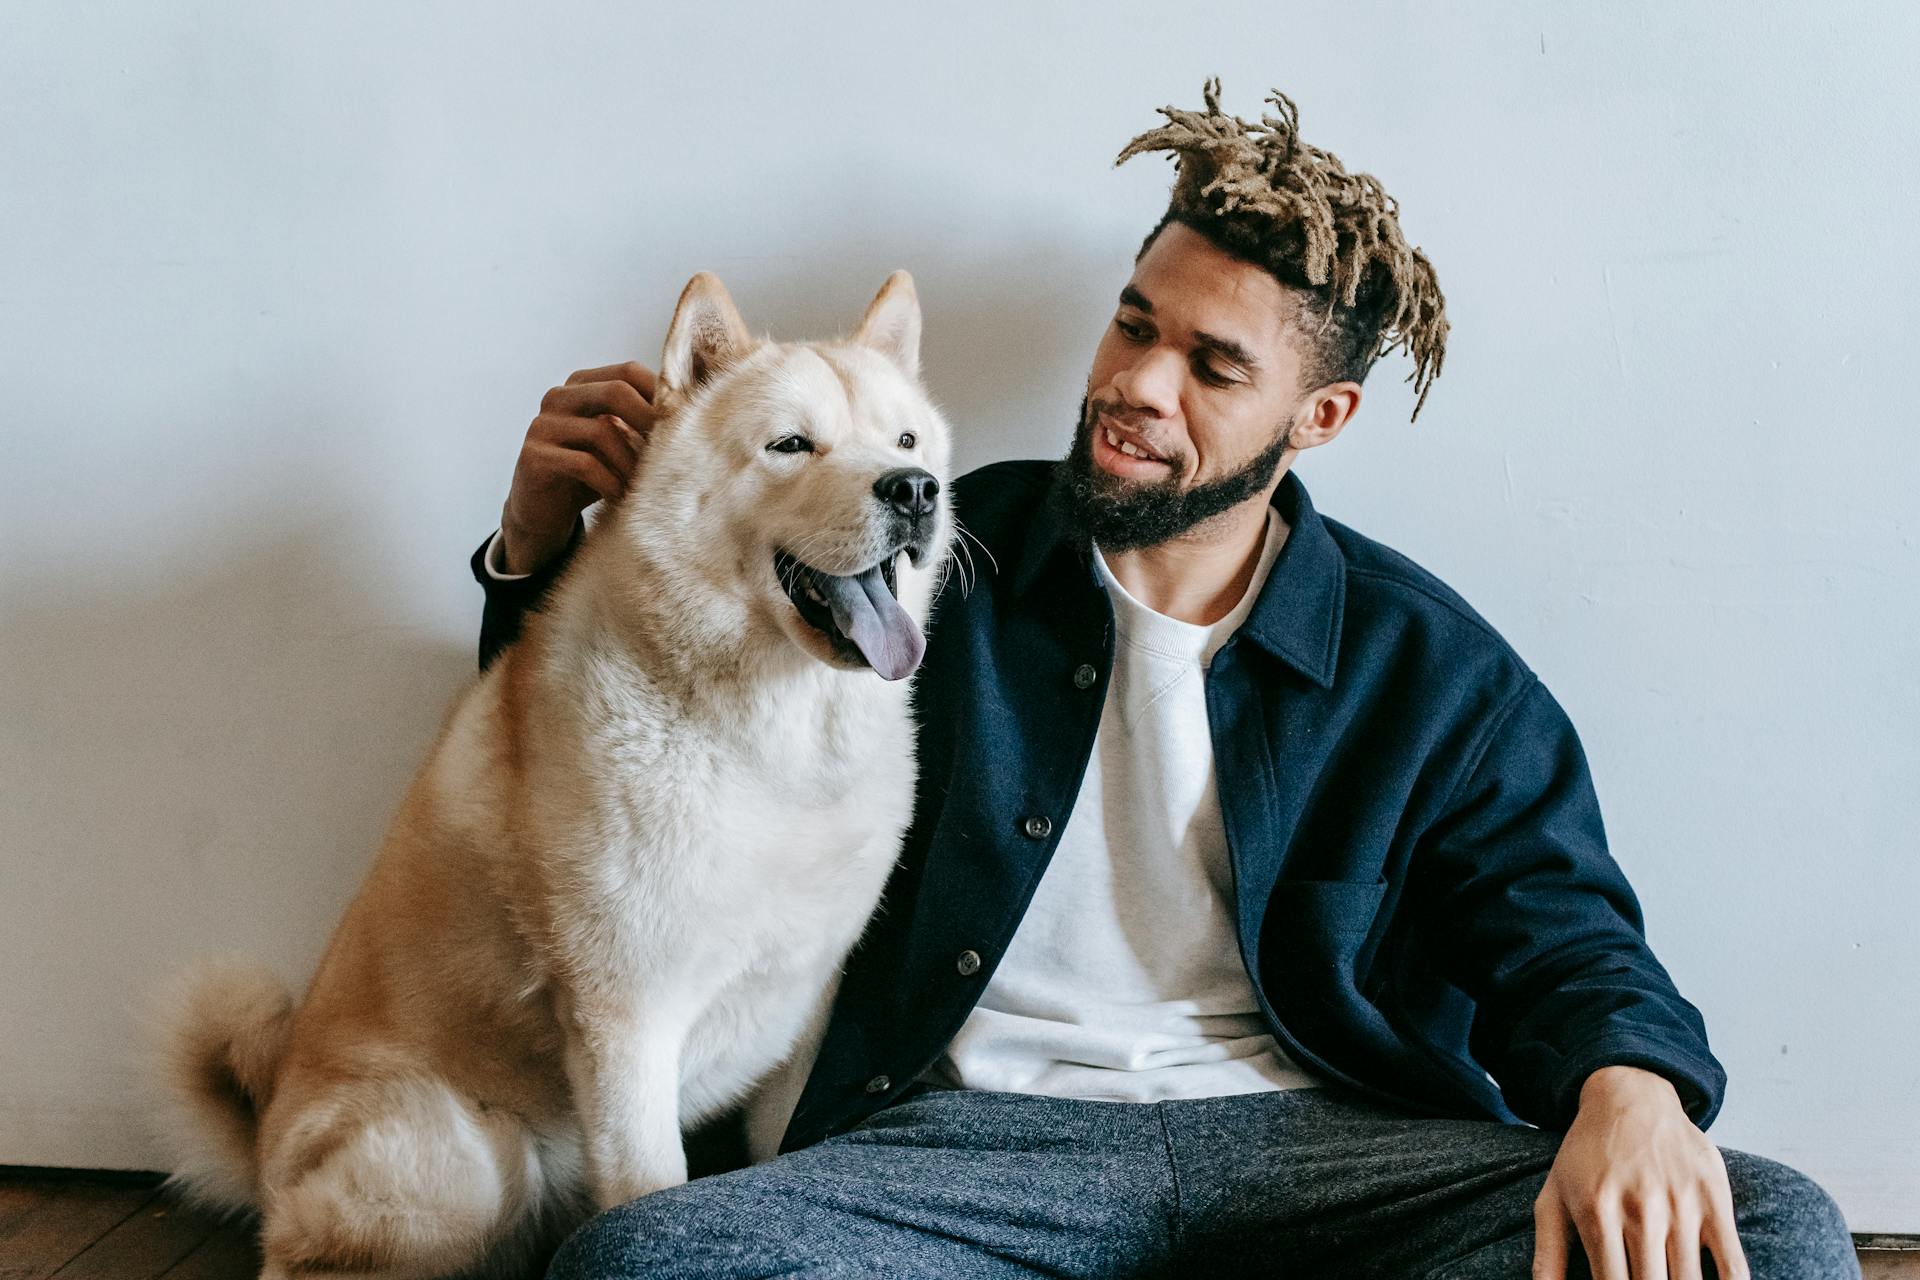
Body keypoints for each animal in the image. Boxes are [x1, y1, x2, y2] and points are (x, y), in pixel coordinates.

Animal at [149, 270, 952, 1280]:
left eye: (906, 441)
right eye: (791, 445)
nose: (914, 490)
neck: (765, 739)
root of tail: (261, 1155)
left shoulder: (805, 1024)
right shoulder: (625, 1023)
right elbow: (650, 1195)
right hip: (465, 1160)